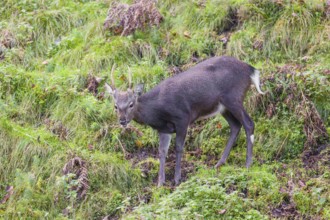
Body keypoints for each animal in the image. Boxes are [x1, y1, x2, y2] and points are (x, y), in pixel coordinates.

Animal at [104, 55, 264, 186]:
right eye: (115, 106)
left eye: (131, 104)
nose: (122, 121)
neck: (157, 111)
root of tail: (251, 70)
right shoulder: (164, 129)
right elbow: (162, 151)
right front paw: (160, 182)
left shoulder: (182, 118)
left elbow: (179, 147)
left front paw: (177, 178)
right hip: (223, 106)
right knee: (235, 126)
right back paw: (219, 163)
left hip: (233, 97)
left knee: (249, 124)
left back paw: (248, 164)